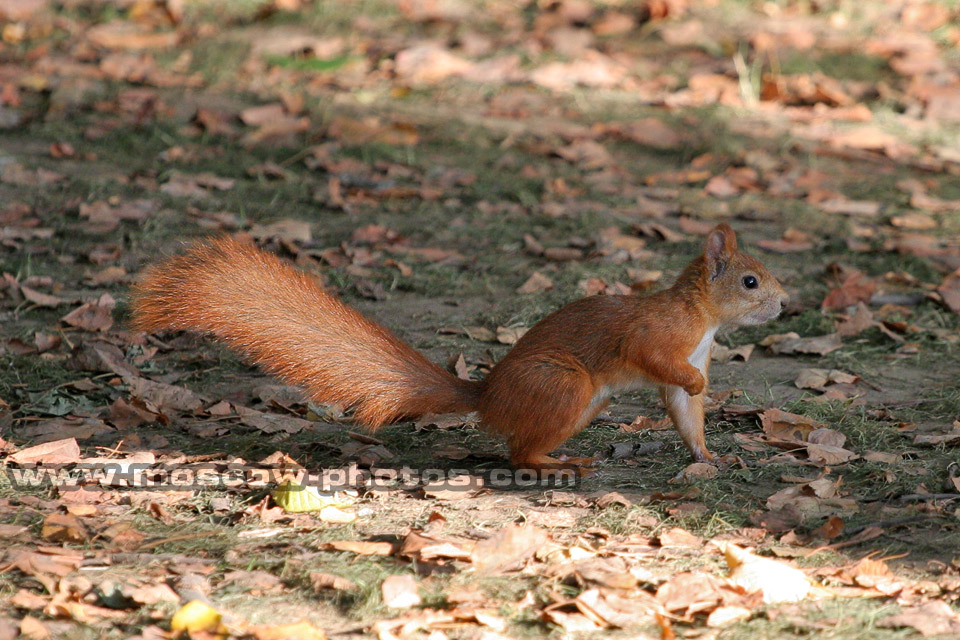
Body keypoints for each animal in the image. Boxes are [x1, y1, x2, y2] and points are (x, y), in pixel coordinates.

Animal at [131, 224, 787, 469]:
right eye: (750, 281)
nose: (786, 304)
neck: (702, 320)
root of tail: (488, 396)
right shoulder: (654, 335)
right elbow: (655, 360)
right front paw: (702, 389)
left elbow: (684, 413)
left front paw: (709, 454)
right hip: (566, 384)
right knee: (518, 455)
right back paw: (556, 462)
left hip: (586, 401)